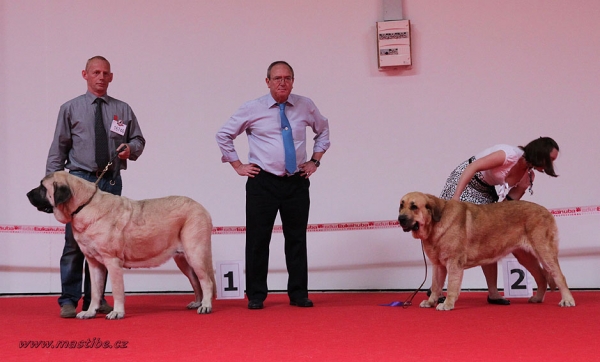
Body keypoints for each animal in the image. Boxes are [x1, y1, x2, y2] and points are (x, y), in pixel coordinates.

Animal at [28, 172, 217, 320]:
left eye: (42, 187)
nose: (27, 194)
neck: (84, 205)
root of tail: (201, 207)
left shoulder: (112, 262)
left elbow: (117, 290)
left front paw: (117, 312)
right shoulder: (93, 263)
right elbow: (95, 291)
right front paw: (90, 312)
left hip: (195, 254)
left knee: (206, 281)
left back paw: (206, 306)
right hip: (183, 260)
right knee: (196, 281)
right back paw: (198, 302)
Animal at [396, 192, 576, 312]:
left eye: (414, 207)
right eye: (401, 205)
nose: (400, 219)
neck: (435, 223)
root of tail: (547, 211)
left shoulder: (454, 263)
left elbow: (452, 286)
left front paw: (447, 304)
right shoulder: (438, 265)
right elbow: (435, 285)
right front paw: (430, 302)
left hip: (544, 251)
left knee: (559, 276)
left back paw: (567, 300)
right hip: (526, 257)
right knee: (541, 277)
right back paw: (537, 298)